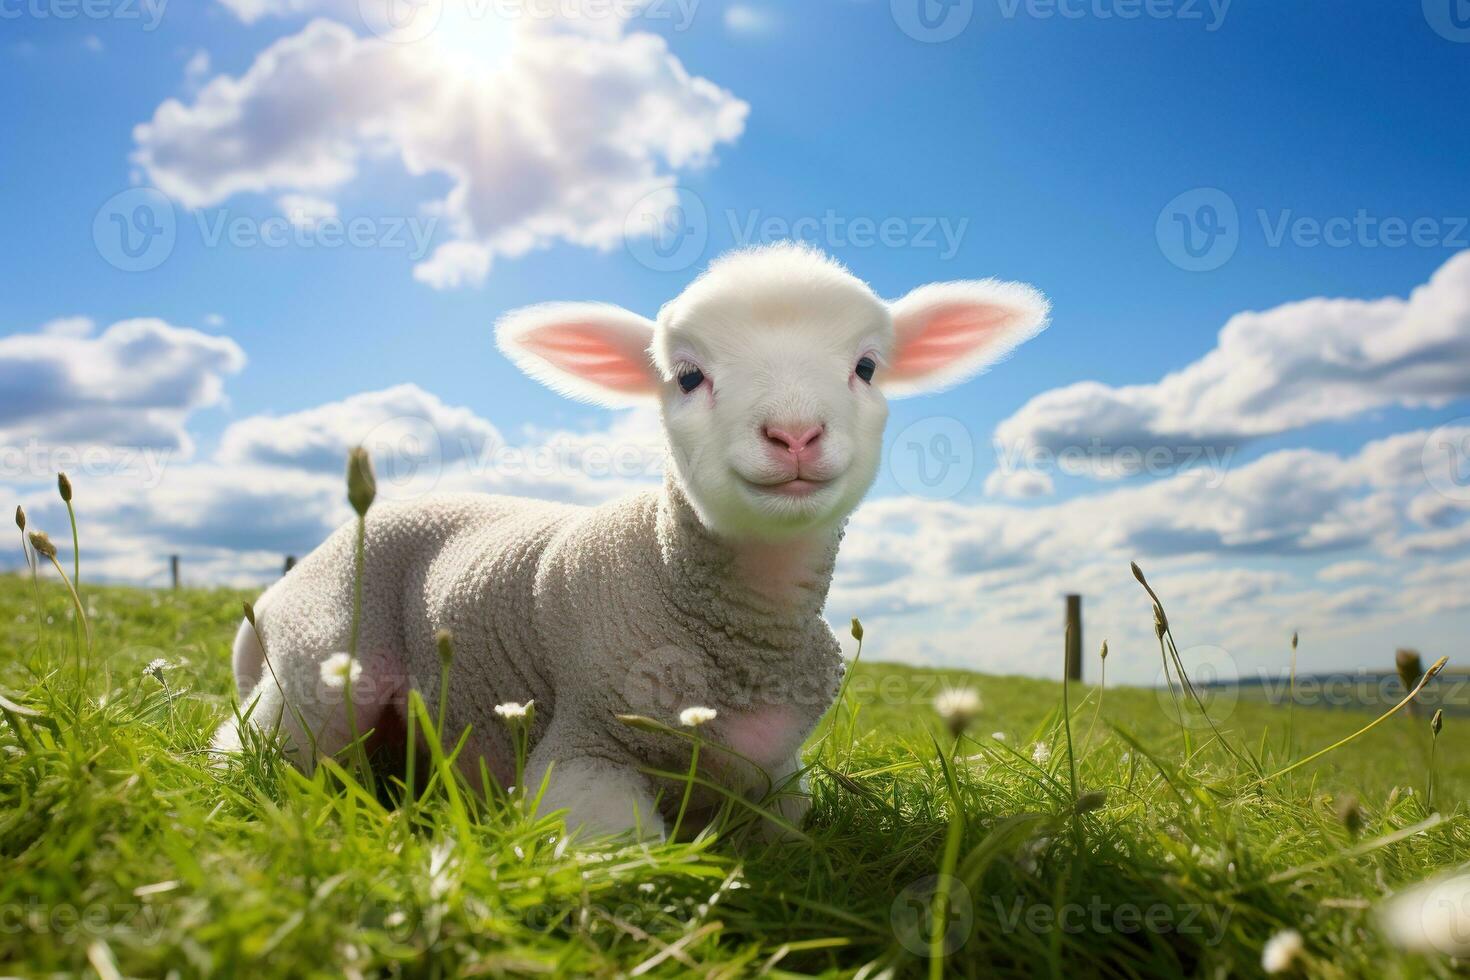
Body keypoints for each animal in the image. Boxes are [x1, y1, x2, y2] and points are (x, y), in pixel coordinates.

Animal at [213, 240, 1052, 840]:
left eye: (868, 367)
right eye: (686, 376)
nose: (794, 433)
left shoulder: (779, 775)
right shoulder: (585, 747)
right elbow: (626, 850)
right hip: (321, 666)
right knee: (251, 748)